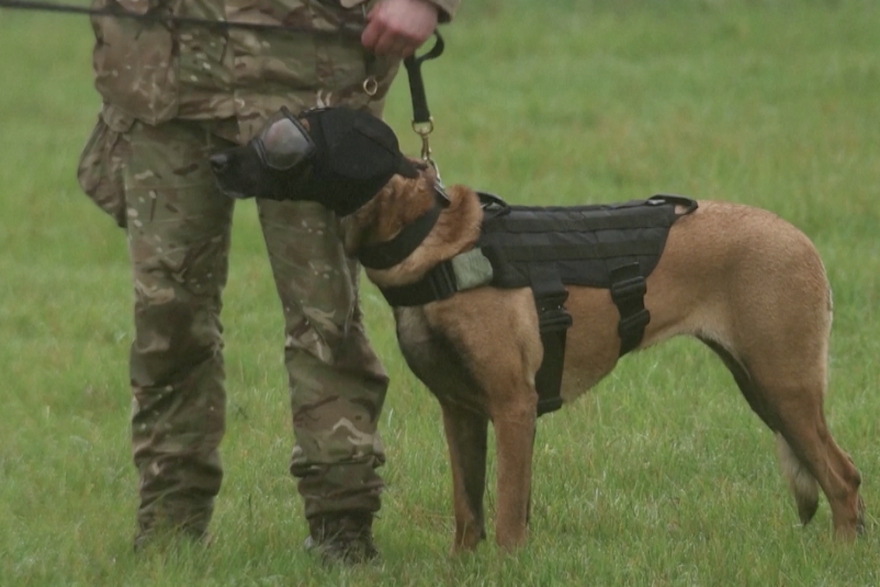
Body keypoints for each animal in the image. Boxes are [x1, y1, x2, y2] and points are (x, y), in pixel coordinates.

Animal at [210, 108, 864, 552]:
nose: (214, 160)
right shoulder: (461, 412)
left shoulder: (513, 406)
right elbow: (467, 510)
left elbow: (505, 516)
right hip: (761, 386)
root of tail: (802, 240)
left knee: (842, 477)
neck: (431, 238)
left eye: (288, 137)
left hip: (784, 386)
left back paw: (838, 555)